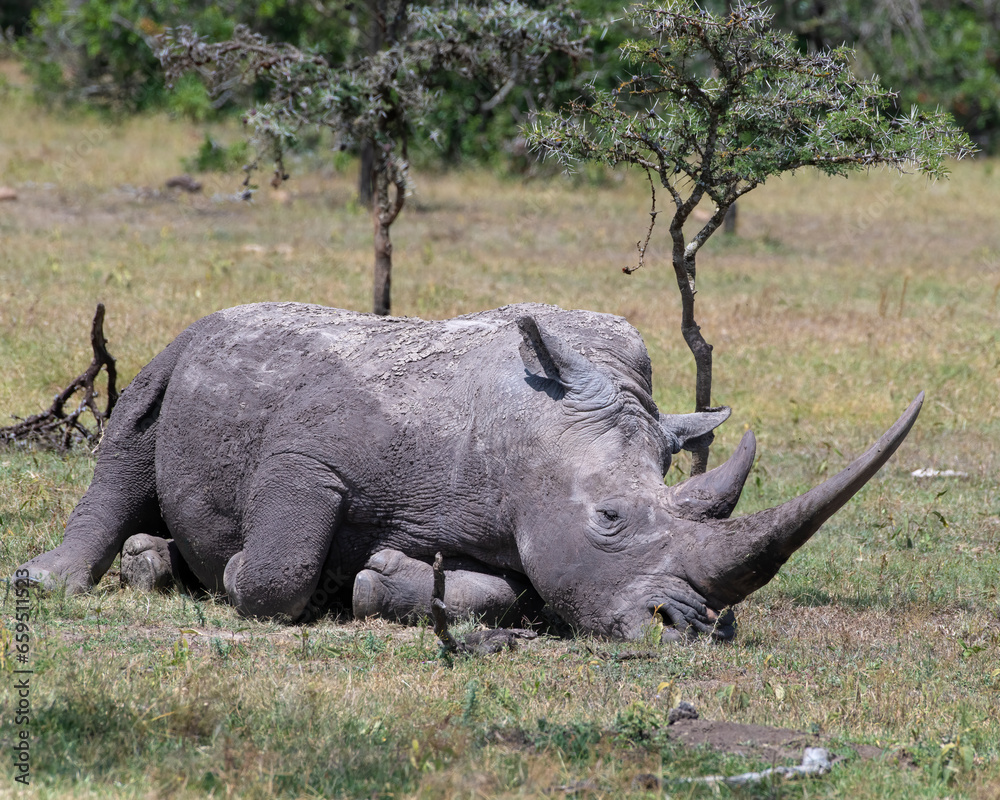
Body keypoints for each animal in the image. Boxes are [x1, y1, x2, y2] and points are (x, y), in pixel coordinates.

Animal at [15, 302, 922, 641]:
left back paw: (156, 564)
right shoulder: (308, 454)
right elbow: (278, 570)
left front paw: (379, 580)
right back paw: (53, 582)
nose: (692, 626)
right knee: (130, 437)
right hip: (185, 348)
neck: (528, 431)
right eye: (610, 520)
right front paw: (242, 575)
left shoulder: (514, 529)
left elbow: (504, 593)